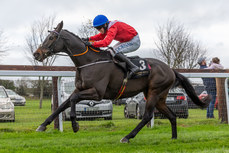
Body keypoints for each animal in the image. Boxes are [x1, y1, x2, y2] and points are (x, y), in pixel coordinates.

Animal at [33, 20, 210, 143]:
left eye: (51, 37)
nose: (36, 54)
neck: (90, 62)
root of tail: (170, 69)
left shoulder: (97, 93)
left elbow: (73, 100)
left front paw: (75, 125)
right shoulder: (79, 89)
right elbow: (63, 104)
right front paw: (42, 125)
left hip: (154, 92)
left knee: (147, 116)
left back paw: (127, 137)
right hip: (159, 96)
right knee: (172, 116)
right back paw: (173, 138)